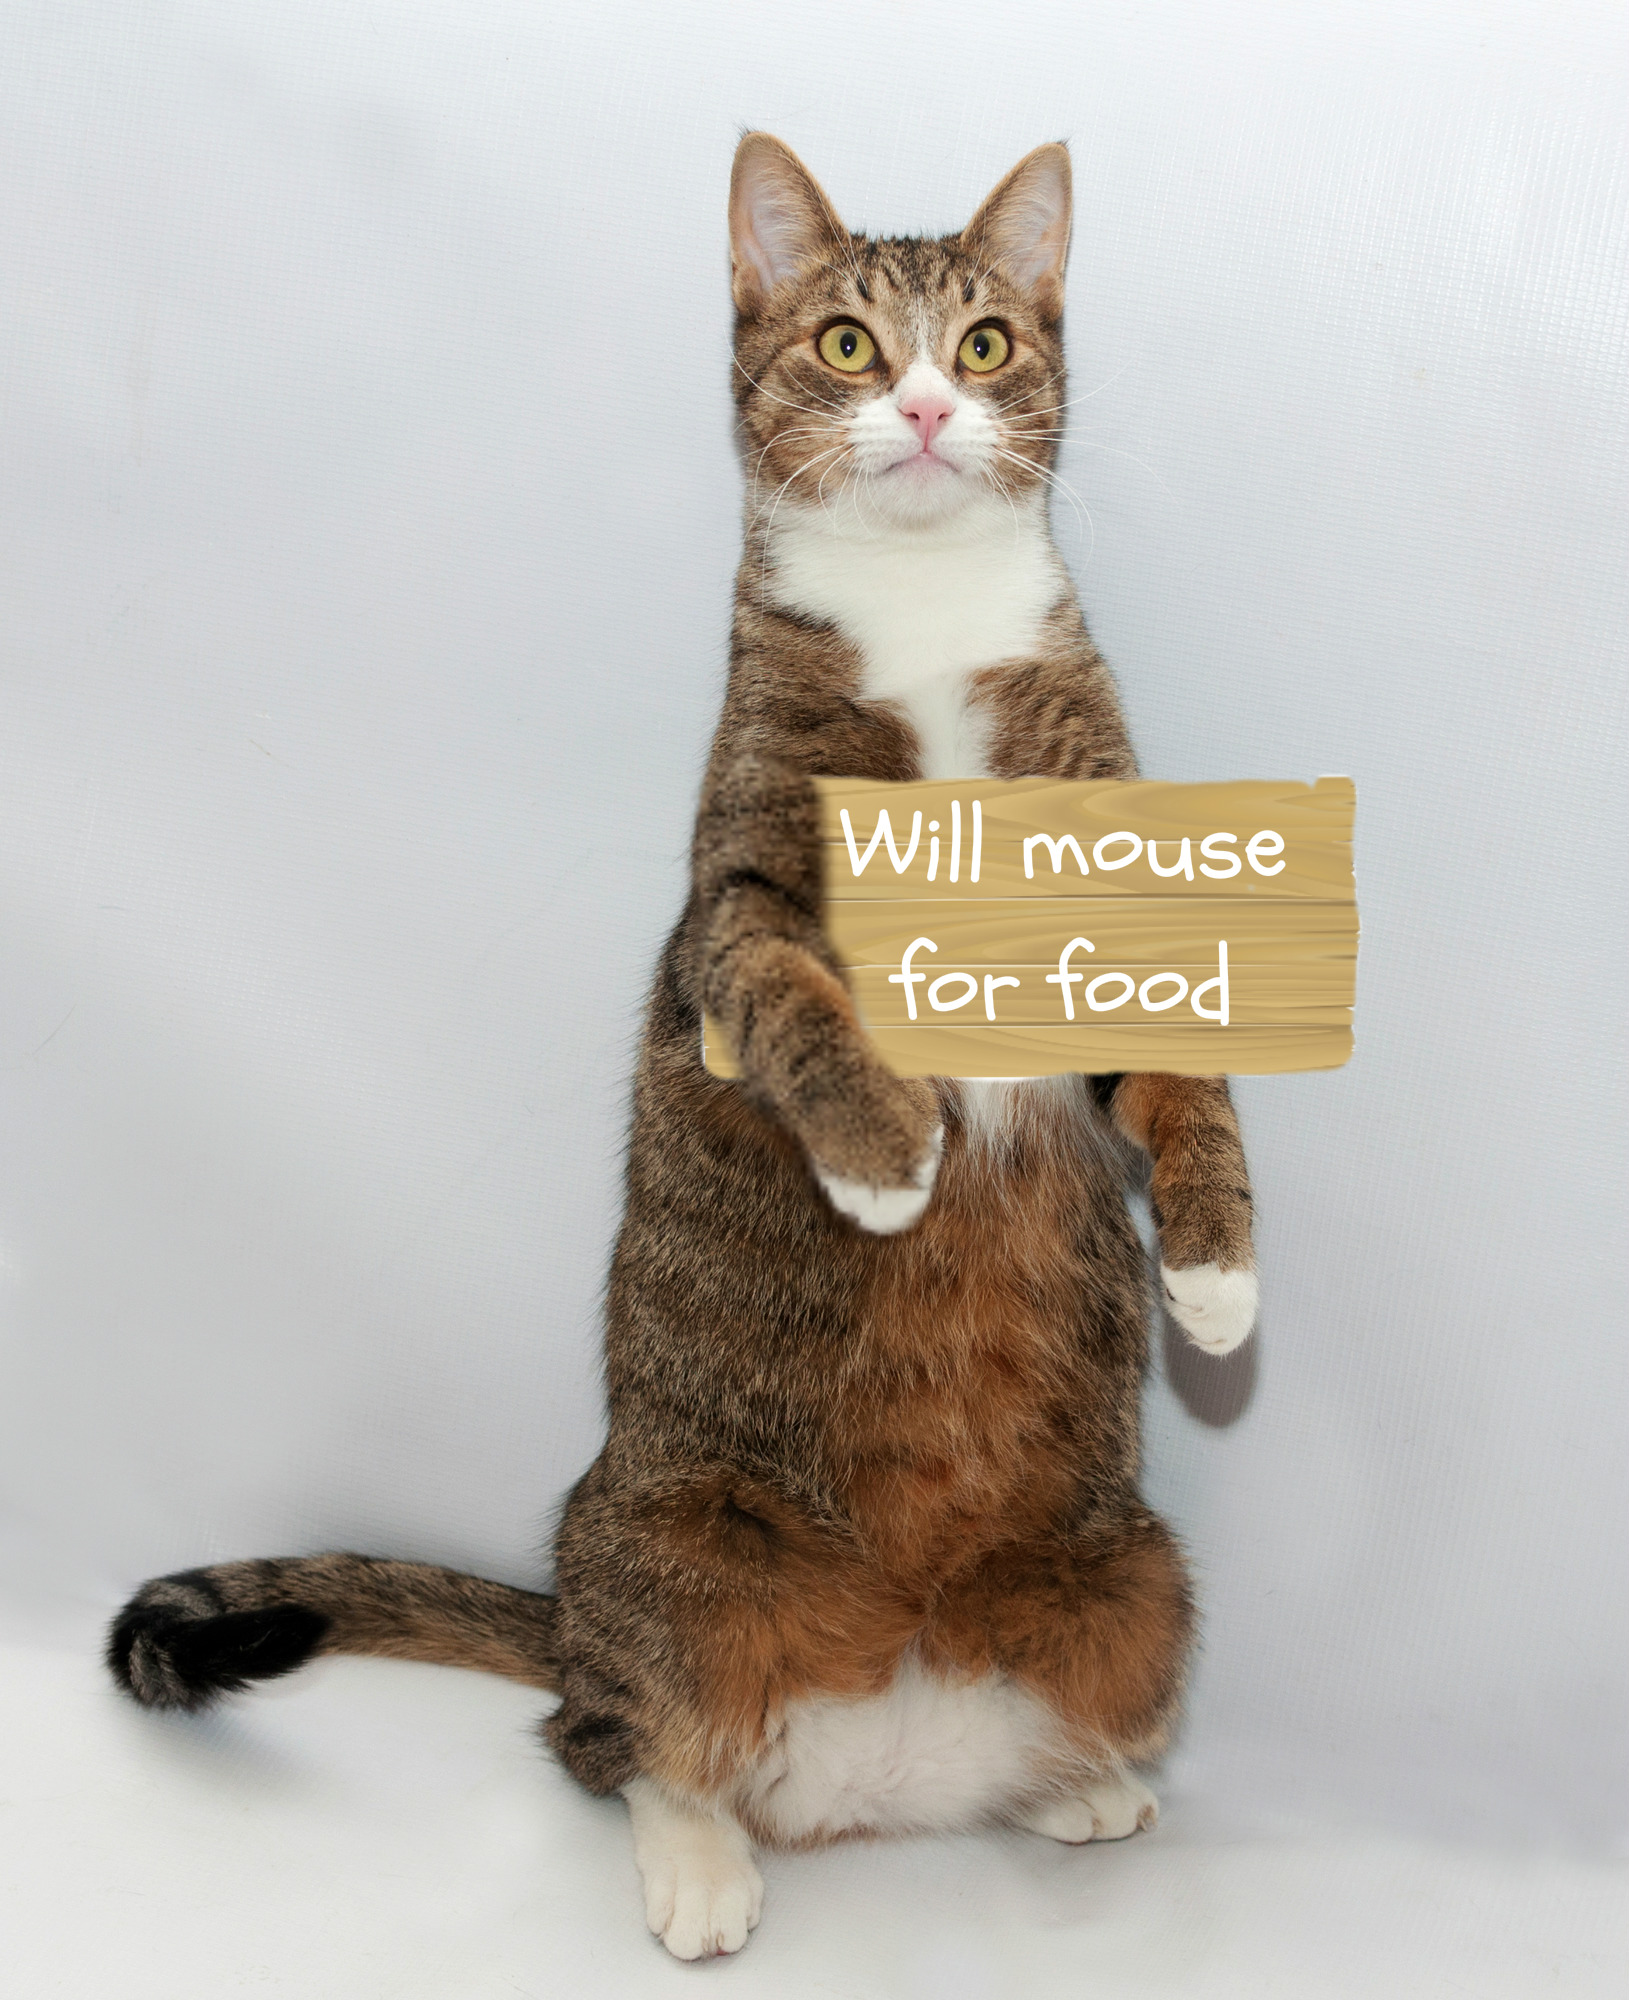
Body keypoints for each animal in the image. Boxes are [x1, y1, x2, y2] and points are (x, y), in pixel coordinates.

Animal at [106, 134, 1258, 1962]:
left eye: (984, 342)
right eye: (848, 342)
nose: (923, 403)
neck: (926, 621)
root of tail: (875, 1762)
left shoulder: (1109, 898)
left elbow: (1181, 1073)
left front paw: (1213, 1277)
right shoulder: (741, 895)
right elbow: (789, 994)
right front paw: (884, 1161)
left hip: (1128, 1571)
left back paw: (1067, 1786)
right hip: (668, 1546)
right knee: (622, 1739)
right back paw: (699, 1858)